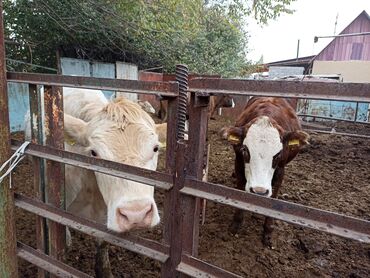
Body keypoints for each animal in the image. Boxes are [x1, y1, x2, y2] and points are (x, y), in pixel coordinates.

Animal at [220, 97, 310, 245]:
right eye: (245, 150)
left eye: (278, 154)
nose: (259, 191)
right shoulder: (238, 162)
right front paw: (236, 224)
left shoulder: (280, 170)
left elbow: (273, 198)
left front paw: (268, 231)